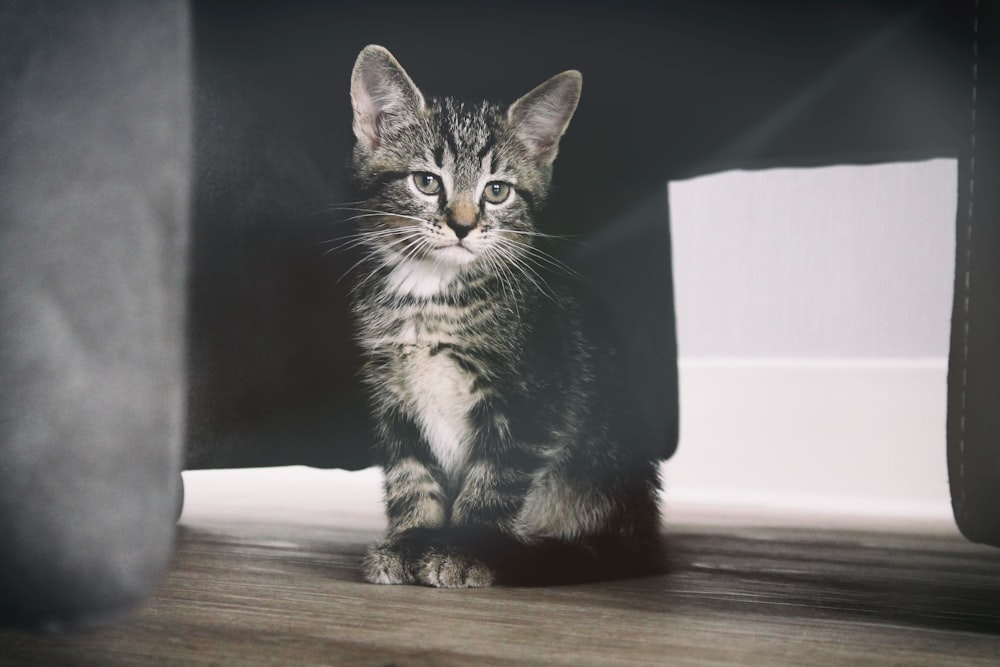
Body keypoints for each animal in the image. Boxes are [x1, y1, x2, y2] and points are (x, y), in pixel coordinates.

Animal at [348, 47, 660, 588]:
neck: (432, 298)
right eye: (426, 181)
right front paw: (411, 540)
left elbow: (493, 481)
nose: (462, 225)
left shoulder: (532, 400)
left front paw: (467, 549)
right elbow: (410, 476)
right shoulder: (392, 398)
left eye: (496, 191)